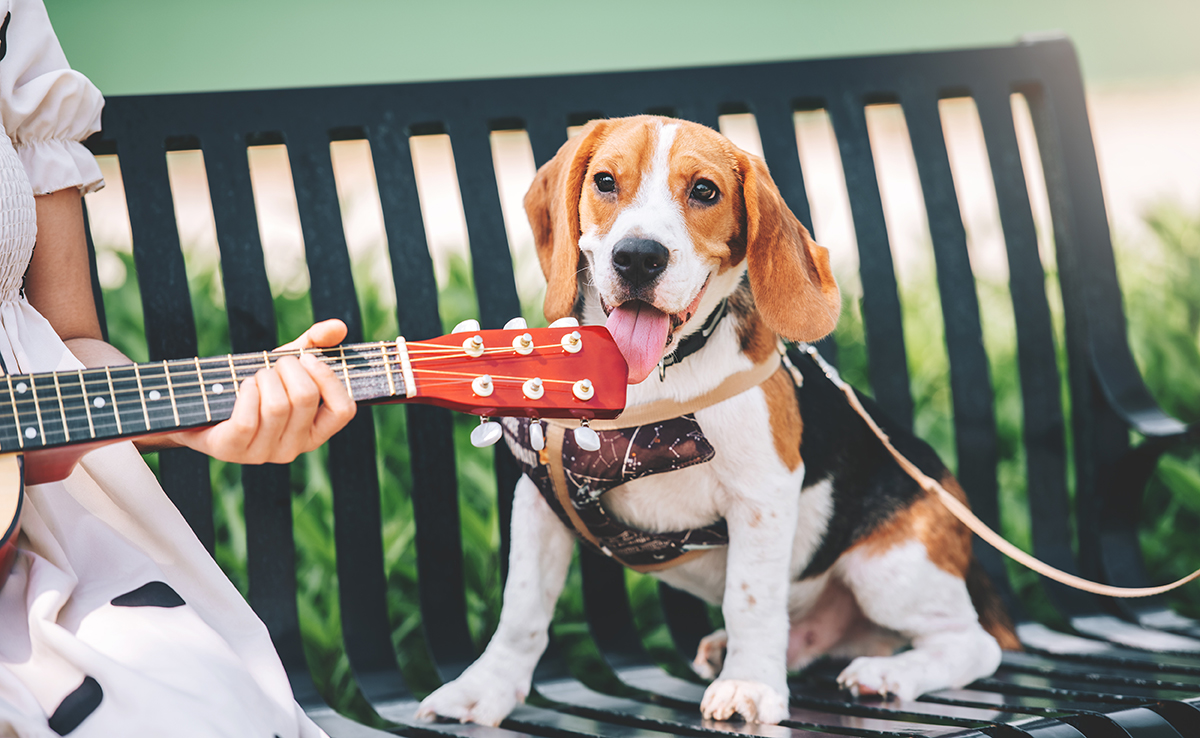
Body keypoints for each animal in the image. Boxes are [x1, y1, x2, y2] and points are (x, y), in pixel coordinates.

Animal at [412, 117, 1012, 729]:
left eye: (705, 191)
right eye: (605, 181)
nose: (638, 257)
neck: (649, 380)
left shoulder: (762, 497)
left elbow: (750, 598)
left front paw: (749, 685)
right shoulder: (542, 497)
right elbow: (522, 610)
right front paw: (482, 688)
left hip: (888, 568)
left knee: (975, 644)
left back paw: (887, 673)